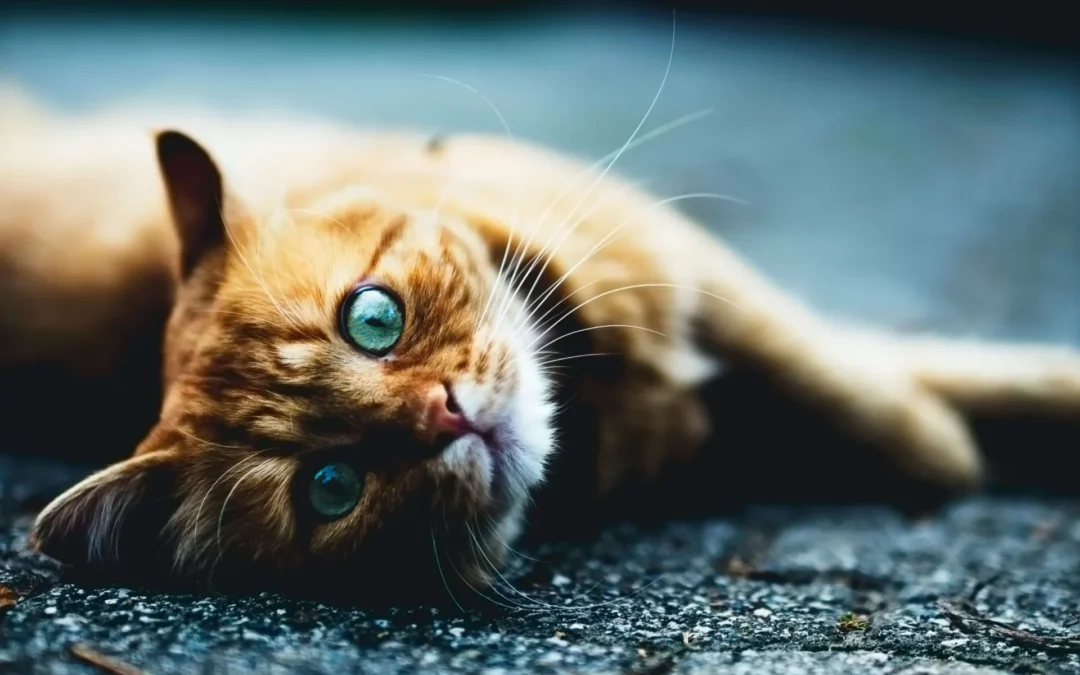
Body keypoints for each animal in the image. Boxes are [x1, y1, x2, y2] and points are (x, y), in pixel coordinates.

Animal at [6, 86, 1080, 604]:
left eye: (373, 316)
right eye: (331, 487)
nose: (446, 416)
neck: (608, 402)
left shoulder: (695, 272)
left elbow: (854, 376)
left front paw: (938, 444)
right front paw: (950, 448)